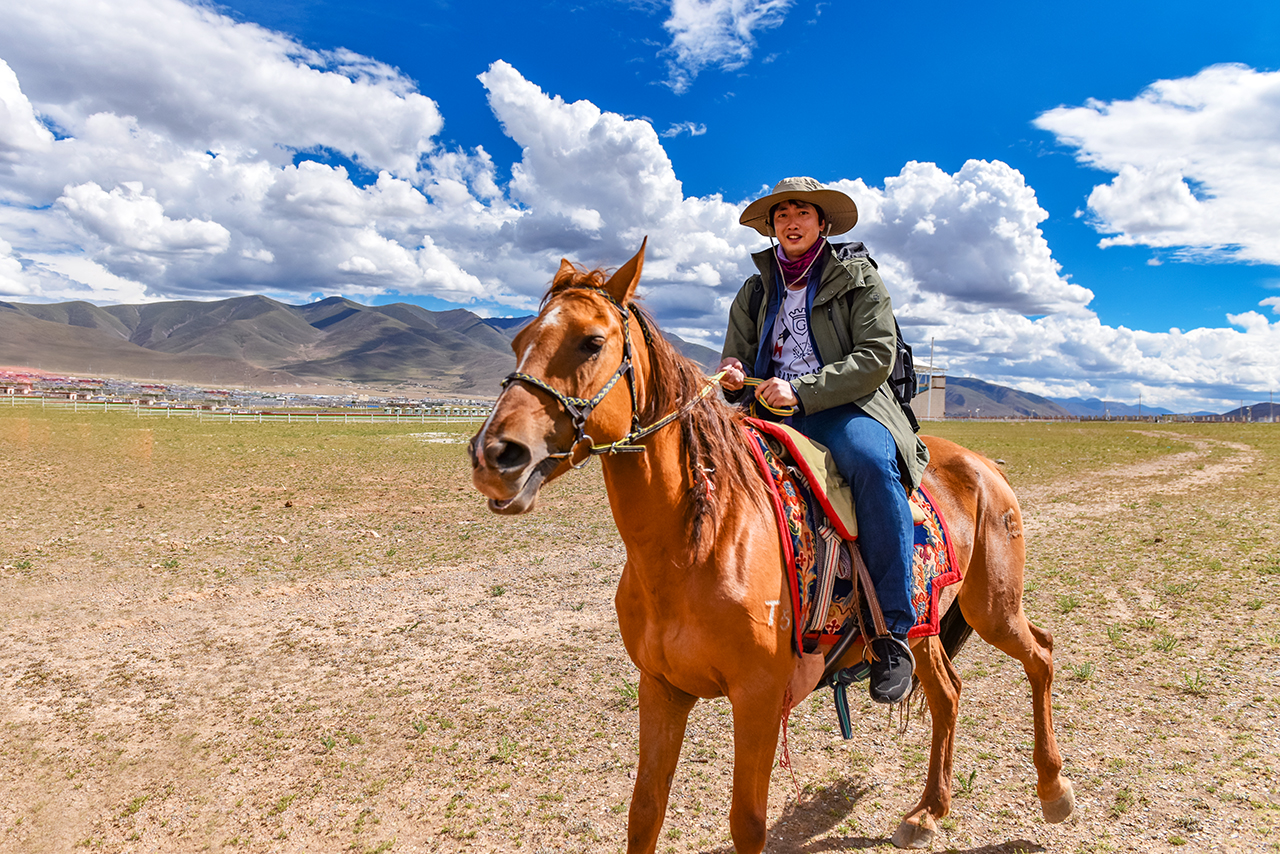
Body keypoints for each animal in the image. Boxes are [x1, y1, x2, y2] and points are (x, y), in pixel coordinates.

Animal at [468, 241, 1070, 854]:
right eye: (519, 341)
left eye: (592, 341)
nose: (494, 455)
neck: (695, 547)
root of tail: (985, 466)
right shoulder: (661, 689)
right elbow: (645, 812)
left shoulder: (757, 699)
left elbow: (747, 824)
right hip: (924, 625)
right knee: (948, 693)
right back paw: (927, 812)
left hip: (992, 606)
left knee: (1041, 653)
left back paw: (1053, 793)